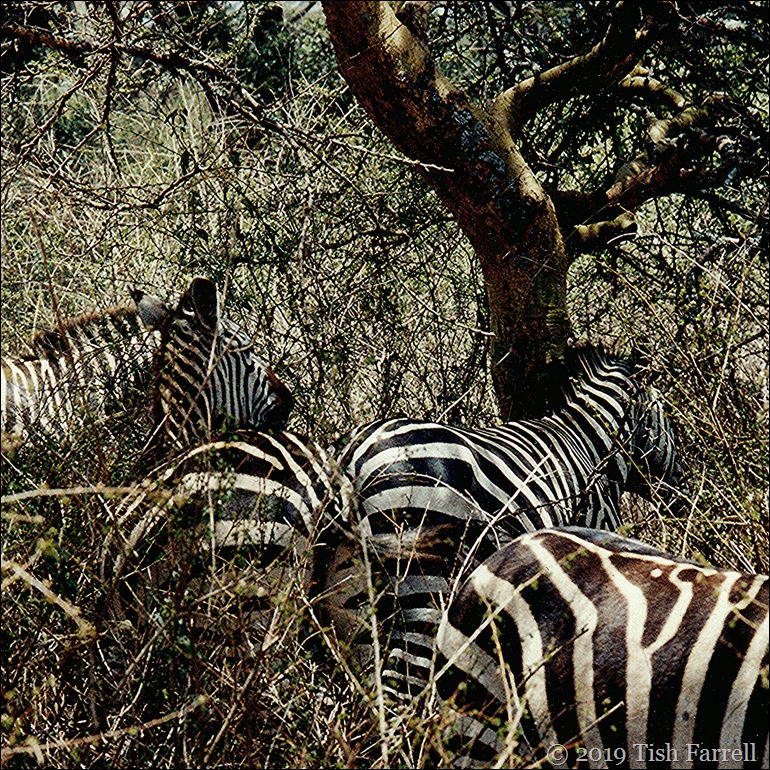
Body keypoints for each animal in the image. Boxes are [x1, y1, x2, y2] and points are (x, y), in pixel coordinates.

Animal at [333, 345, 687, 699]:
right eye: (669, 418)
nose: (683, 496)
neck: (592, 446)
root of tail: (354, 456)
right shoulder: (595, 532)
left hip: (353, 598)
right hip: (424, 576)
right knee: (401, 681)